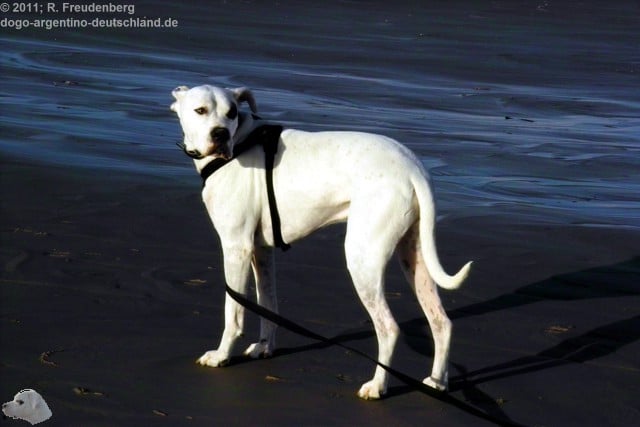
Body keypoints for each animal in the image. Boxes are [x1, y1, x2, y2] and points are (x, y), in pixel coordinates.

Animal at [170, 85, 470, 400]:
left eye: (231, 113)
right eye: (201, 111)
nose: (220, 135)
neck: (240, 142)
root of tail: (412, 167)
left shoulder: (235, 248)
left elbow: (234, 312)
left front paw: (222, 355)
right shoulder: (260, 251)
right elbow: (268, 303)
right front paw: (265, 346)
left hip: (363, 260)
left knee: (389, 328)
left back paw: (377, 386)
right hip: (414, 258)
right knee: (441, 322)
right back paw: (437, 382)